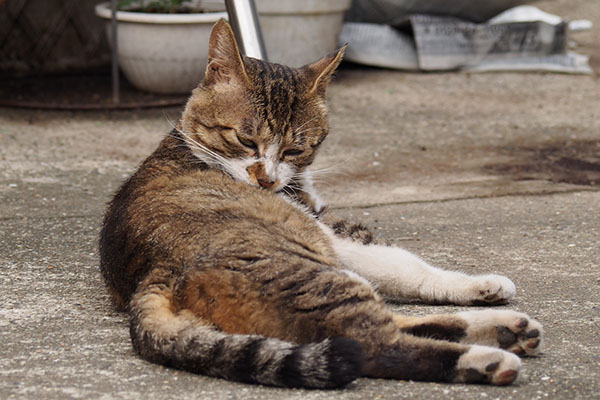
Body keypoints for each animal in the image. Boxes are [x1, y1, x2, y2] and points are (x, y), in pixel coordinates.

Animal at [99, 19, 544, 388]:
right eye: (245, 139)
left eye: (296, 149)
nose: (266, 179)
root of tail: (156, 272)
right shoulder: (326, 227)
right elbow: (405, 264)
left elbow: (402, 270)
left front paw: (483, 286)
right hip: (315, 278)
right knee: (376, 343)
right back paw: (489, 358)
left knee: (388, 325)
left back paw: (507, 329)